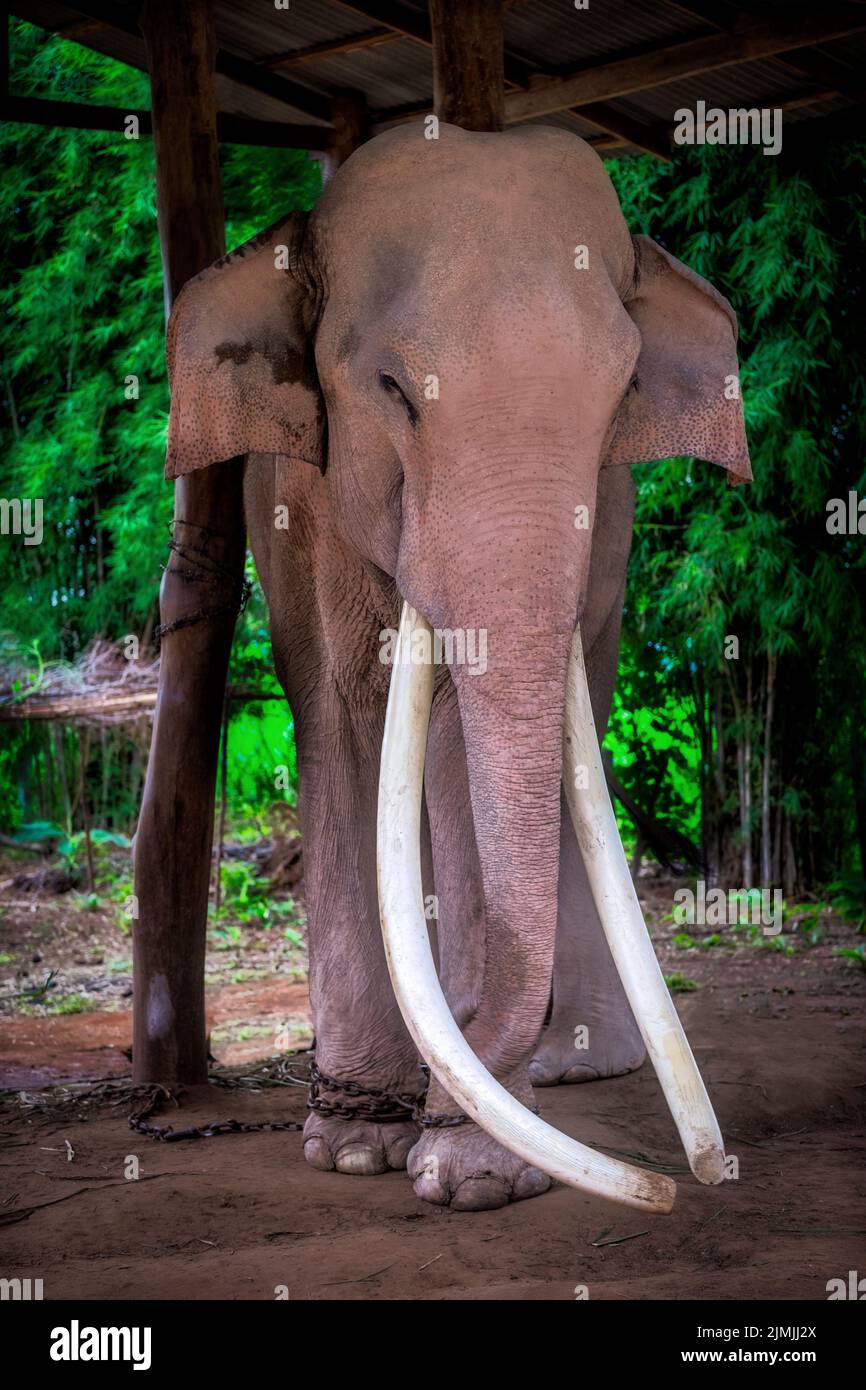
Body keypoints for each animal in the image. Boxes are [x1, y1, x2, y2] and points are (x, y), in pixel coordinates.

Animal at [162, 122, 750, 1213]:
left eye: (620, 396)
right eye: (393, 391)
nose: (685, 1181)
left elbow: (453, 746)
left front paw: (472, 1173)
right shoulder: (301, 510)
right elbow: (342, 715)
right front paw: (358, 1146)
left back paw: (568, 1066)